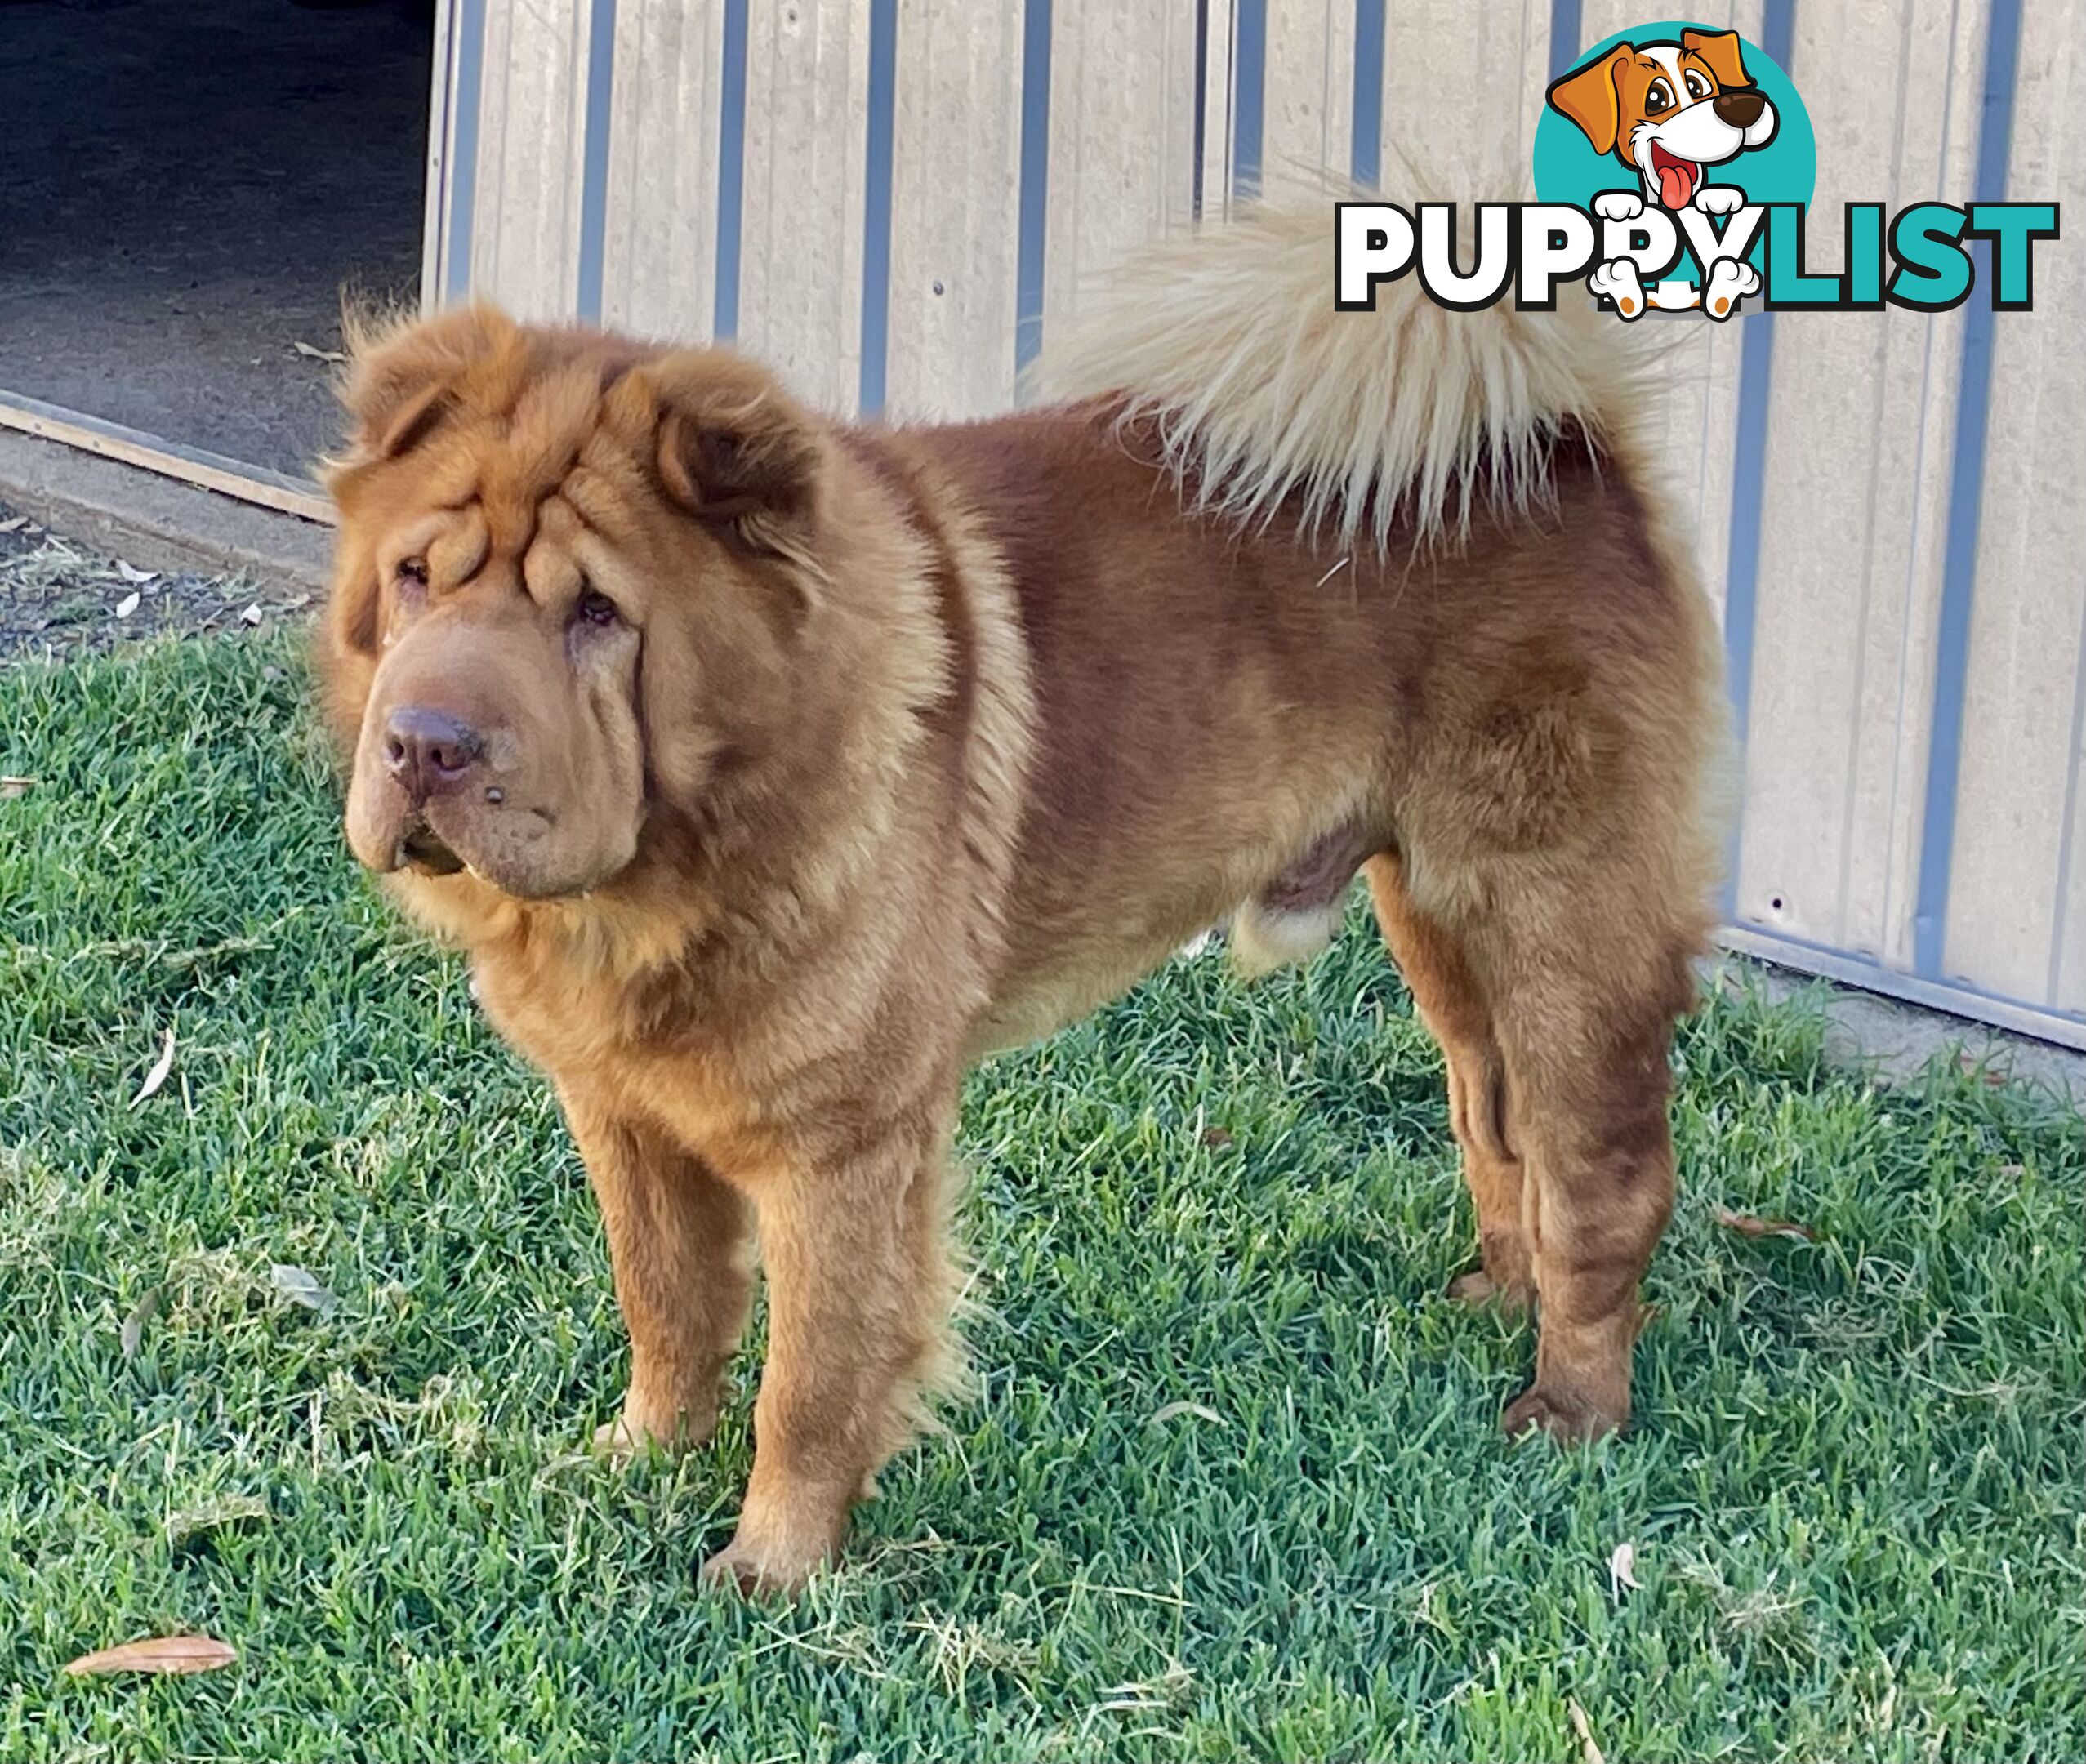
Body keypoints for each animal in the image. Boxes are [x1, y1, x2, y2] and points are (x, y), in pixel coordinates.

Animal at [321, 200, 1727, 1592]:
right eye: (416, 579)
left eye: (600, 615)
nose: (425, 746)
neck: (660, 882)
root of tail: (1559, 437)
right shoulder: (619, 1106)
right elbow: (665, 1297)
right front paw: (642, 1460)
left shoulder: (842, 1143)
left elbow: (812, 1375)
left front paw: (772, 1568)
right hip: (1435, 922)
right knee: (1496, 1124)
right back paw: (1497, 1302)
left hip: (1557, 920)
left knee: (1598, 1175)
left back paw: (1571, 1410)